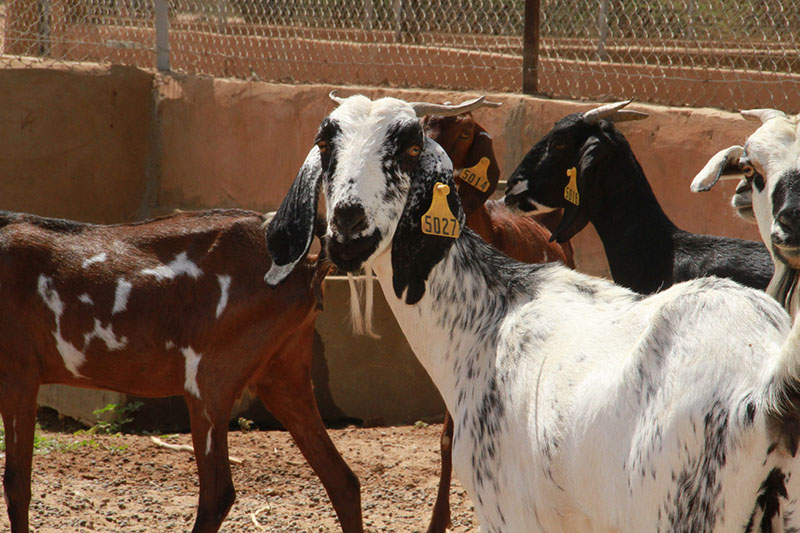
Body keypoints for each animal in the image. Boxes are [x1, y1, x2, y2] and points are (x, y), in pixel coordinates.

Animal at [0, 208, 362, 532]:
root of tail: (306, 267)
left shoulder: (18, 374)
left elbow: (17, 486)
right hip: (284, 374)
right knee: (343, 481)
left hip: (209, 380)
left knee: (218, 493)